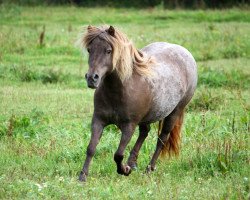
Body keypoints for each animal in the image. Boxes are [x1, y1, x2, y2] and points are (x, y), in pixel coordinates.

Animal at [78, 25, 197, 181]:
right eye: (89, 50)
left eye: (108, 50)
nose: (92, 78)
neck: (121, 90)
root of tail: (185, 53)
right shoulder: (98, 120)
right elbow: (91, 148)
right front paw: (83, 176)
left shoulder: (129, 125)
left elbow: (118, 154)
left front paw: (124, 170)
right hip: (147, 117)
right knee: (145, 132)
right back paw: (132, 163)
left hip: (174, 112)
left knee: (162, 139)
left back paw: (148, 168)